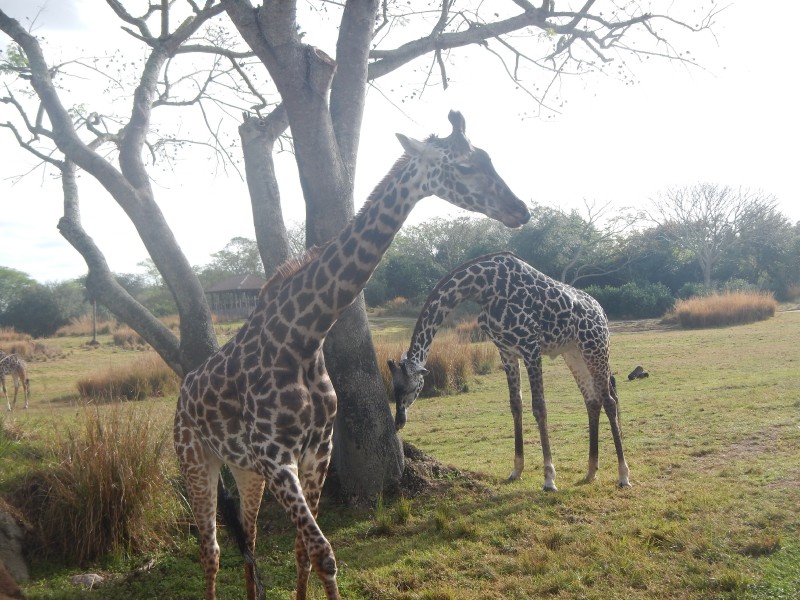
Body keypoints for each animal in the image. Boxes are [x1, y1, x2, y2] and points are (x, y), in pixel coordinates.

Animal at [173, 111, 531, 600]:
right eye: (464, 166)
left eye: (488, 157)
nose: (521, 210)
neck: (304, 338)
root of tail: (182, 395)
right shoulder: (276, 456)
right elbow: (323, 551)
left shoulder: (314, 452)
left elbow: (303, 551)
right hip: (196, 459)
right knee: (210, 550)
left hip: (243, 468)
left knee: (248, 540)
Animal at [388, 252, 630, 491]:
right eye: (394, 387)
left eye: (410, 388)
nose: (398, 421)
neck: (482, 288)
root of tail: (602, 312)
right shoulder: (507, 351)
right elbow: (516, 405)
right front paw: (517, 470)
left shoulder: (530, 347)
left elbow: (540, 407)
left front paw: (549, 478)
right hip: (573, 352)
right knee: (592, 400)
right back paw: (591, 471)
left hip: (595, 346)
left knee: (610, 400)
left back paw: (623, 475)